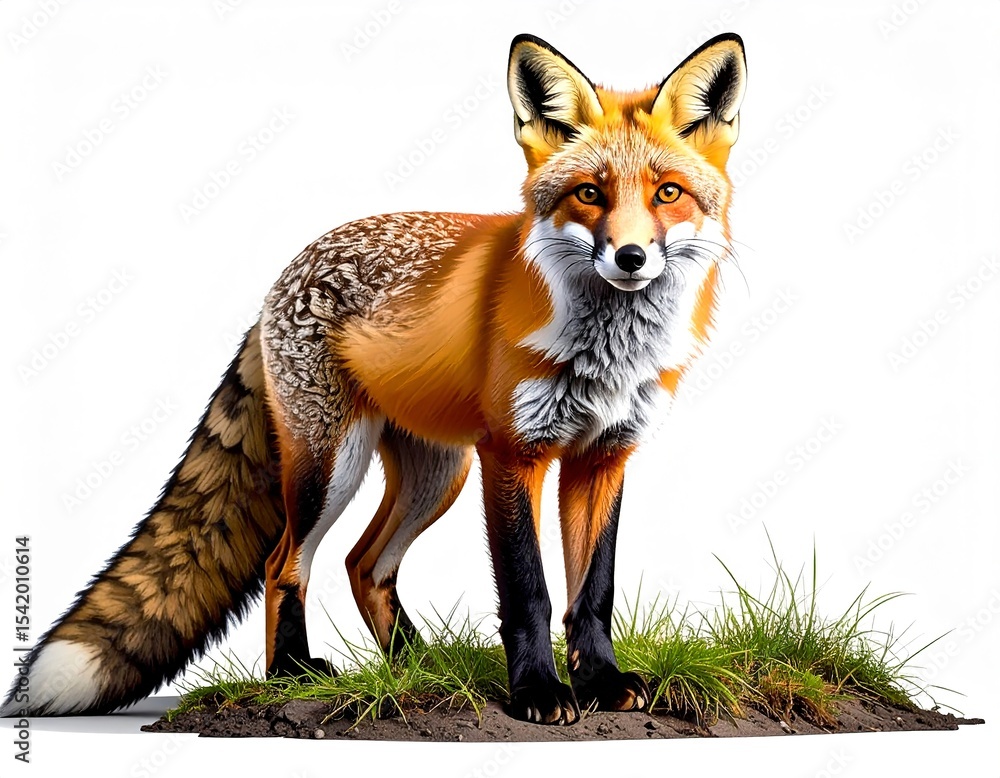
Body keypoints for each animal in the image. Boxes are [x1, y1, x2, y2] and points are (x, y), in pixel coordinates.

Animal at [3, 32, 746, 726]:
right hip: (331, 466)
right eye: (589, 194)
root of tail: (282, 276)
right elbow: (528, 591)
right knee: (286, 563)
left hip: (437, 473)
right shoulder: (513, 453)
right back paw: (294, 674)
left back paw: (421, 669)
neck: (607, 355)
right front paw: (537, 692)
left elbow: (593, 592)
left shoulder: (603, 457)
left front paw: (600, 684)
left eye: (668, 194)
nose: (630, 257)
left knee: (365, 564)